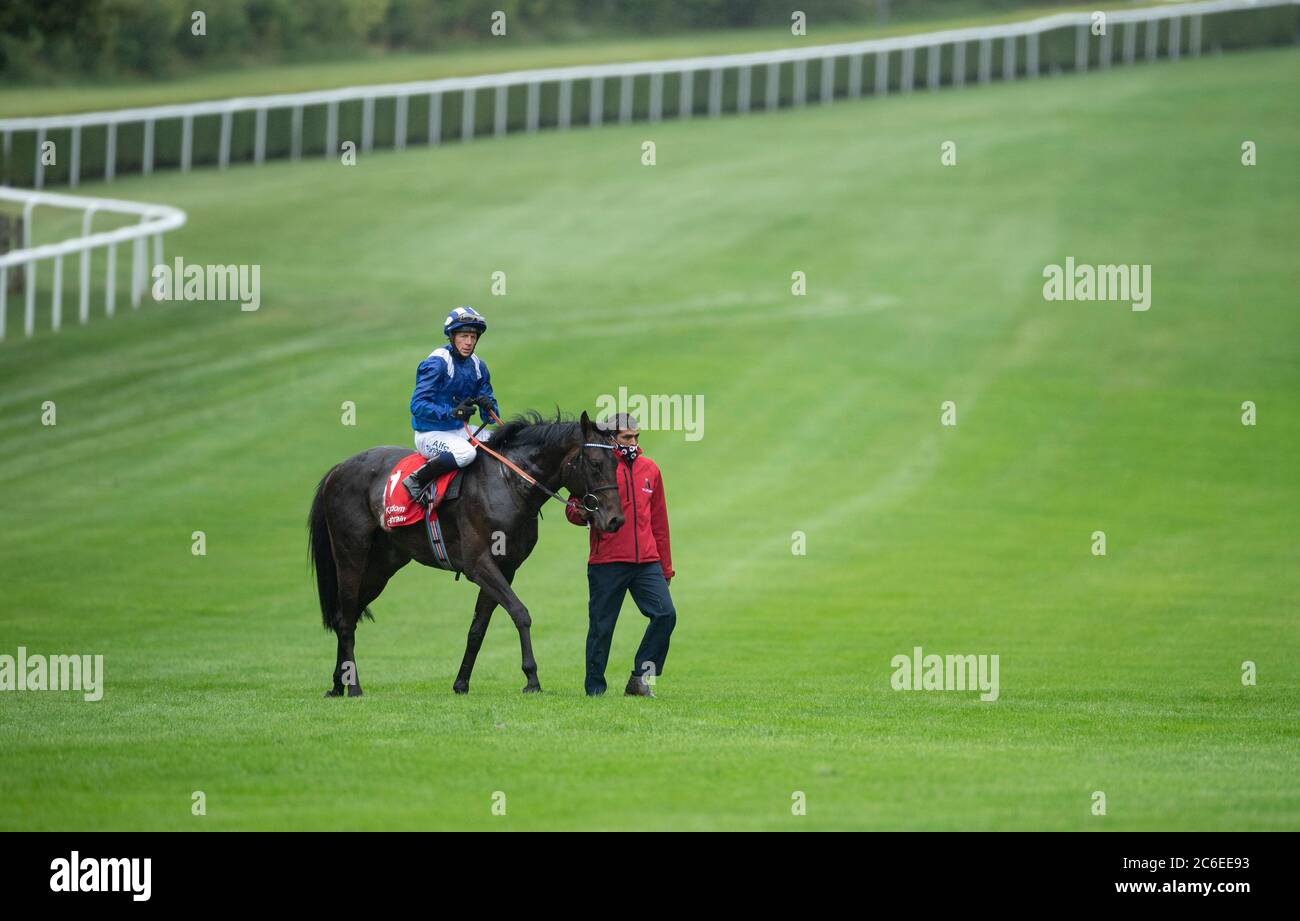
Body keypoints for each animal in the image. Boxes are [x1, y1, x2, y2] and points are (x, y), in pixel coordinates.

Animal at [309, 413, 624, 692]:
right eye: (595, 464)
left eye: (617, 462)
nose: (615, 520)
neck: (507, 484)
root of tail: (338, 468)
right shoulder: (479, 564)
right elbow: (520, 613)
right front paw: (532, 679)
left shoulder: (505, 568)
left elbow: (478, 628)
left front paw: (461, 683)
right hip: (351, 556)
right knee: (346, 620)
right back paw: (354, 688)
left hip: (380, 567)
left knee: (345, 616)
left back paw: (338, 684)